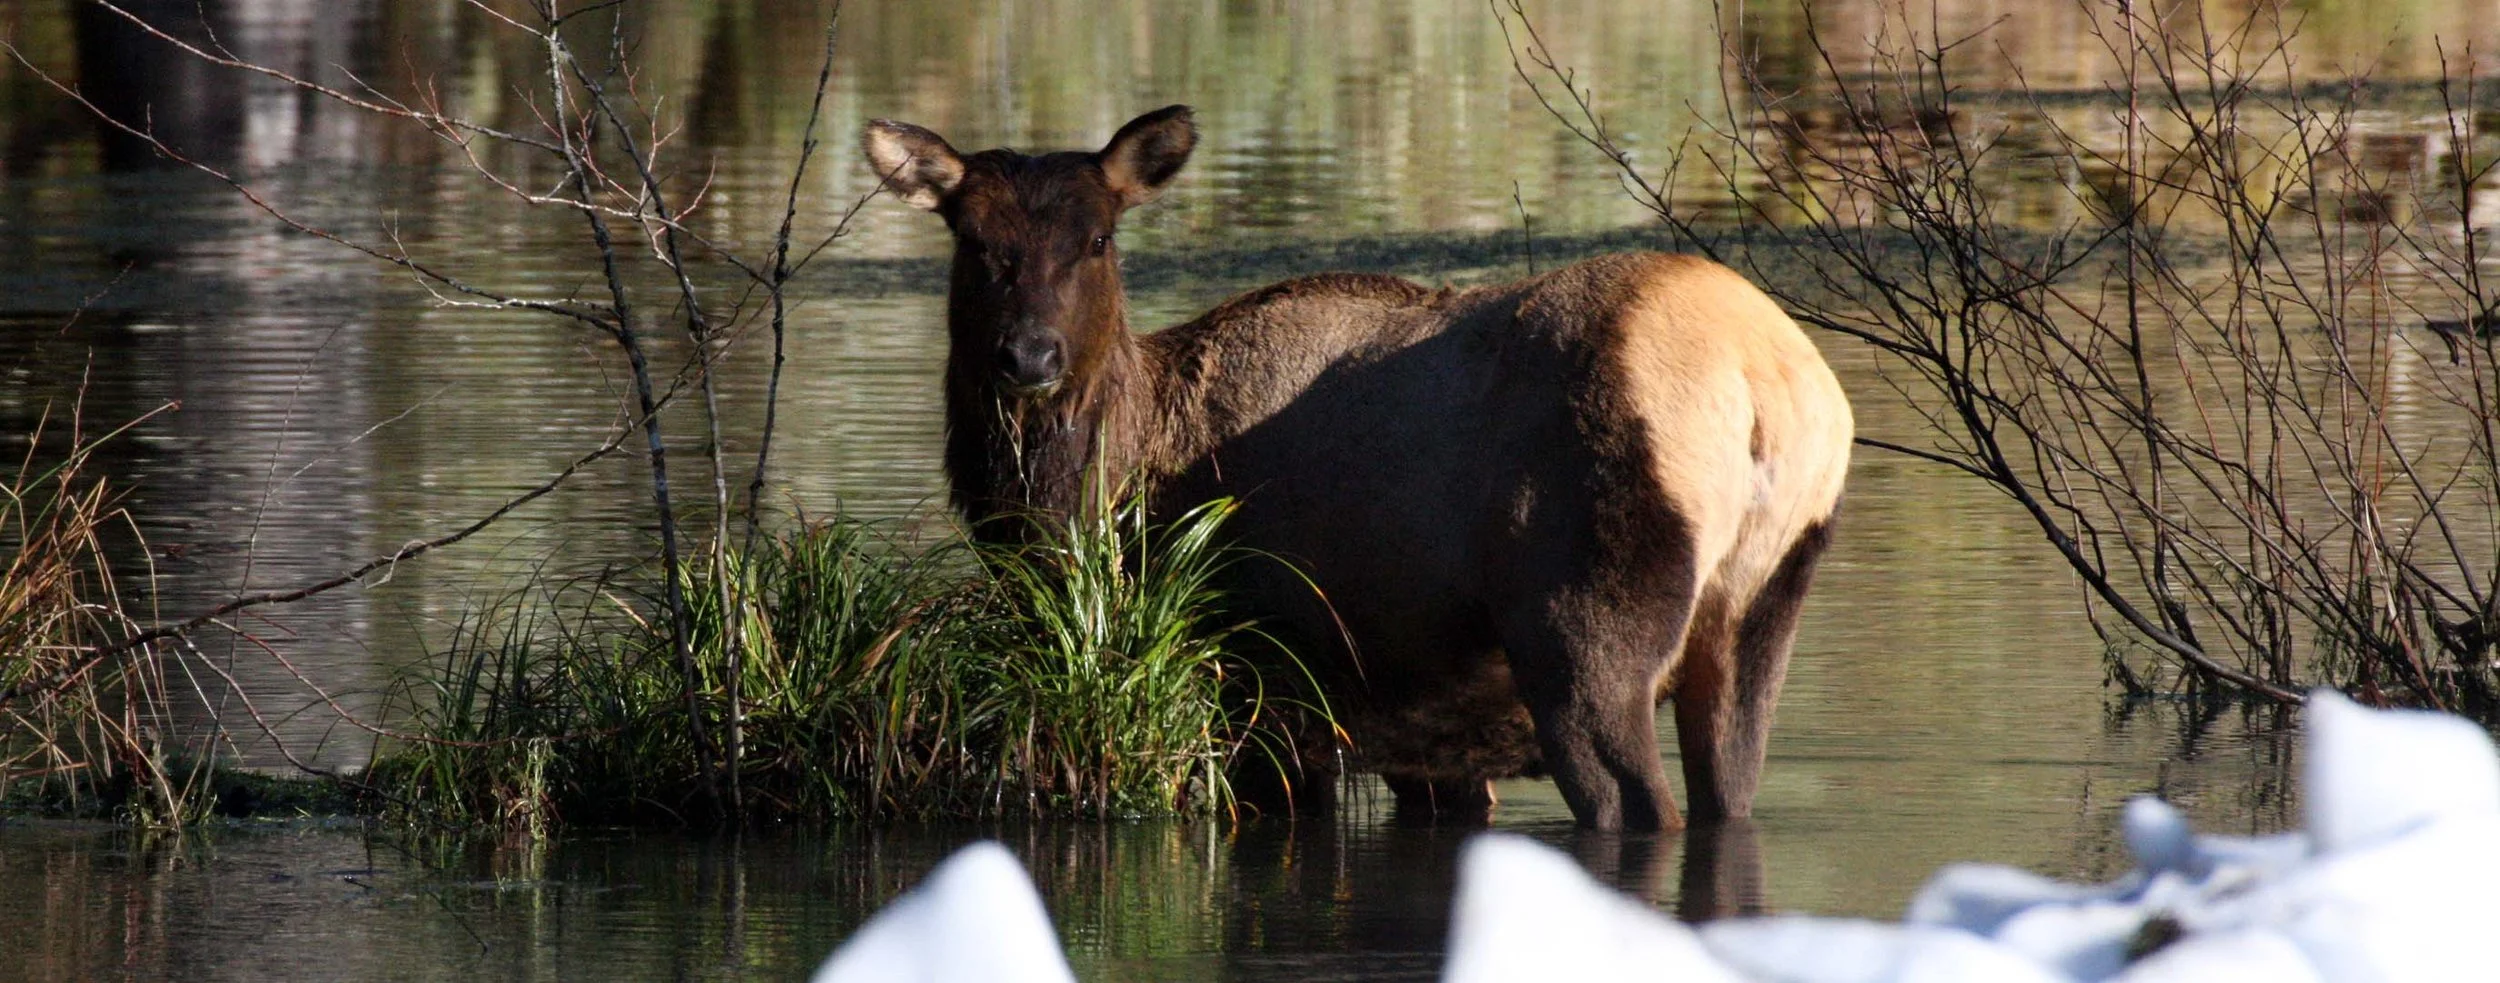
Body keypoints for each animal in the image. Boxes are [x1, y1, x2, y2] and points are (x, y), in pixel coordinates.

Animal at [862, 105, 1853, 831]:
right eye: (971, 240)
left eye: (1099, 239)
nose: (1029, 356)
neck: (1113, 498)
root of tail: (1762, 381)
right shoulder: (1417, 727)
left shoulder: (1260, 680)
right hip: (1764, 607)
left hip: (1582, 620)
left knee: (1639, 802)